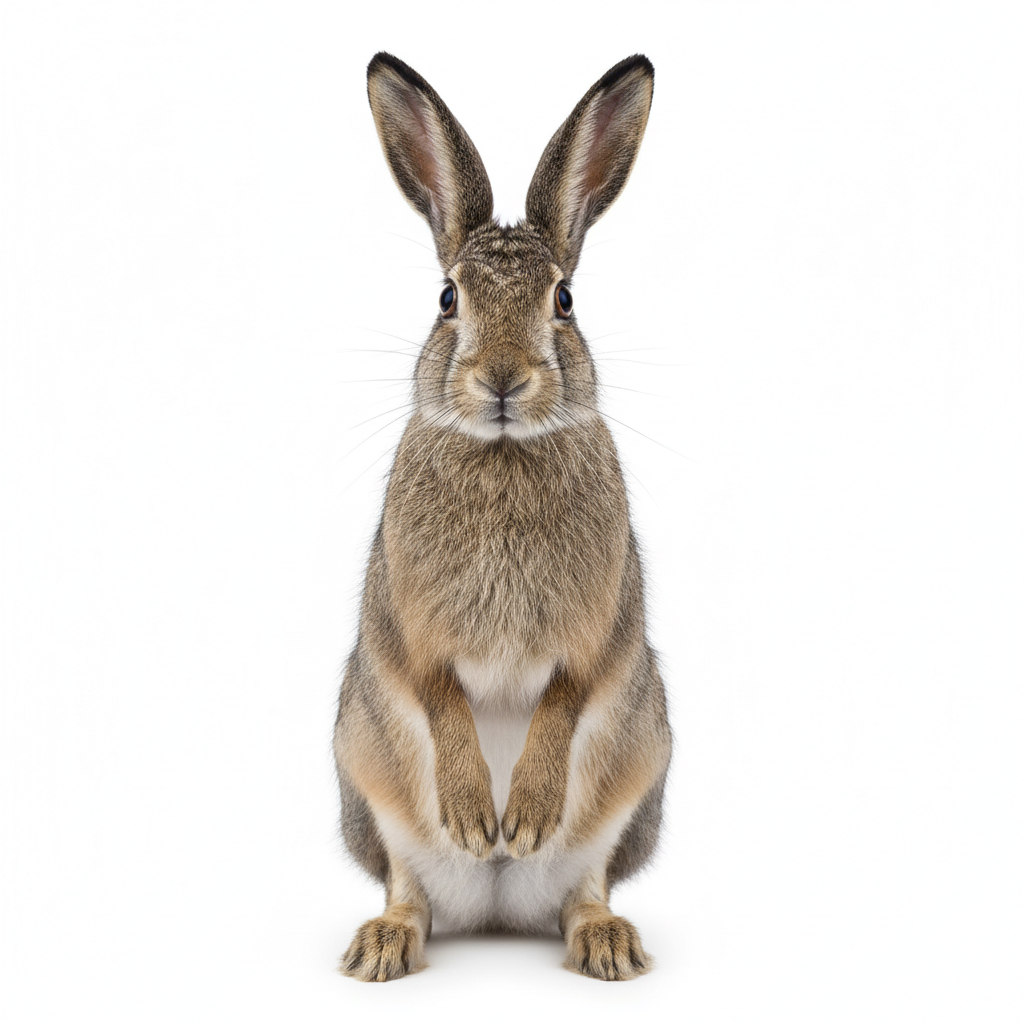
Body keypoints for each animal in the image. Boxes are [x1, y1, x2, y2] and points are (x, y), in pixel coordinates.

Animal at [335, 51, 672, 982]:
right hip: (366, 768)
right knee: (407, 889)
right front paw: (473, 813)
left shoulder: (602, 628)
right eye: (448, 298)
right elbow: (437, 692)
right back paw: (384, 943)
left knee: (585, 887)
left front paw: (520, 818)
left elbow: (566, 696)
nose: (503, 377)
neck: (504, 451)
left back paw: (603, 940)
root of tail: (492, 906)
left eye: (565, 301)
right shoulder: (405, 625)